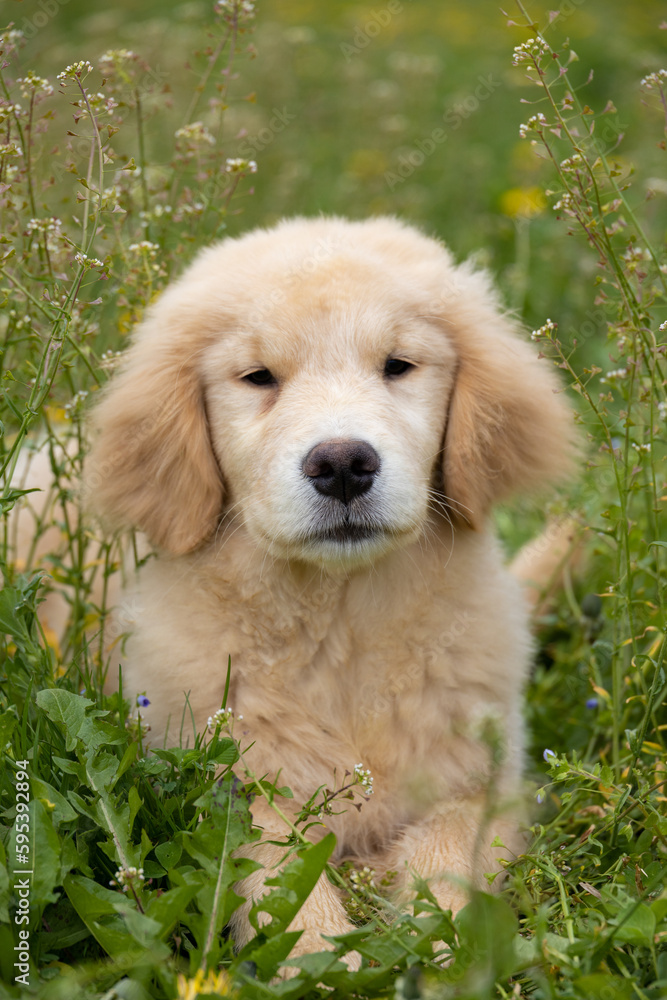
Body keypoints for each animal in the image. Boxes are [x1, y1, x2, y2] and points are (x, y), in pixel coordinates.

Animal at [83, 217, 576, 960]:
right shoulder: (231, 794)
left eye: (397, 365)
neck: (343, 628)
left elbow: (447, 855)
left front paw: (433, 948)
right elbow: (279, 880)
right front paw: (322, 954)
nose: (342, 464)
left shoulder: (481, 783)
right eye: (258, 377)